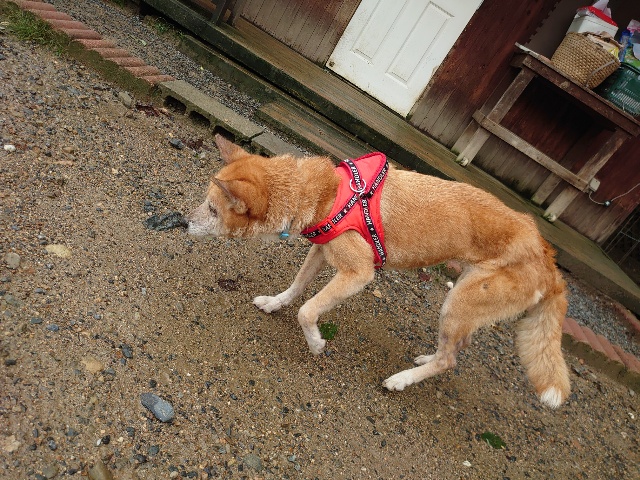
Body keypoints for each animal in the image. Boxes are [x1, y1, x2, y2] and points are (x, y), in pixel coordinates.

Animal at [187, 134, 570, 408]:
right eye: (204, 202)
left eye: (212, 209)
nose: (182, 221)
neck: (325, 194)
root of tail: (549, 261)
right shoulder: (321, 250)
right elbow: (296, 287)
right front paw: (273, 303)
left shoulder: (357, 273)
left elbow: (307, 311)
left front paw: (315, 343)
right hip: (464, 298)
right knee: (455, 347)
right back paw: (425, 357)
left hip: (460, 301)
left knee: (449, 361)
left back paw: (402, 379)